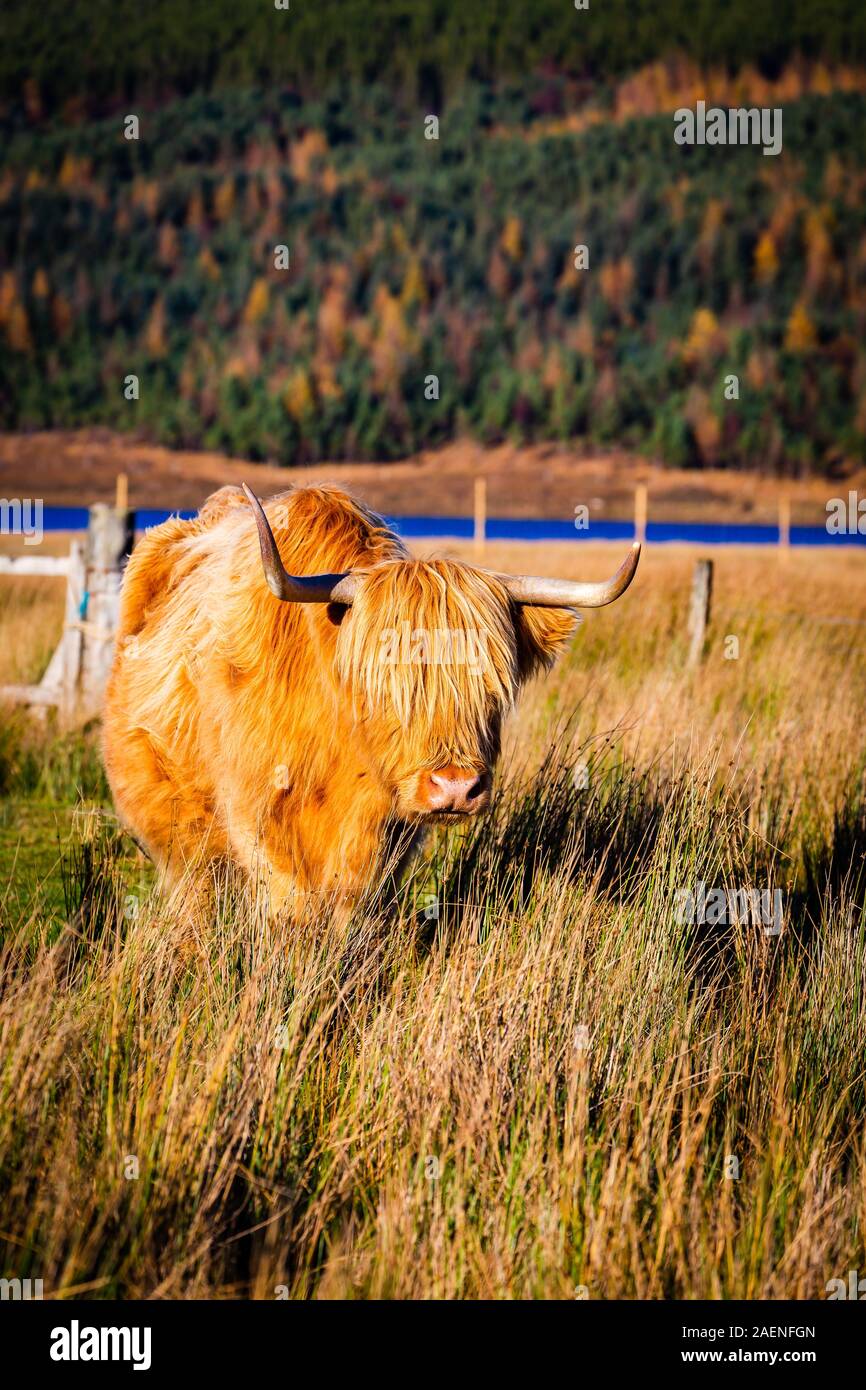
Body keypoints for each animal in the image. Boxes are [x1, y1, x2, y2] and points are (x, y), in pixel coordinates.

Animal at [103, 484, 639, 921]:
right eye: (383, 683)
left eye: (492, 684)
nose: (455, 788)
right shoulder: (258, 819)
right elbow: (292, 911)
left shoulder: (389, 843)